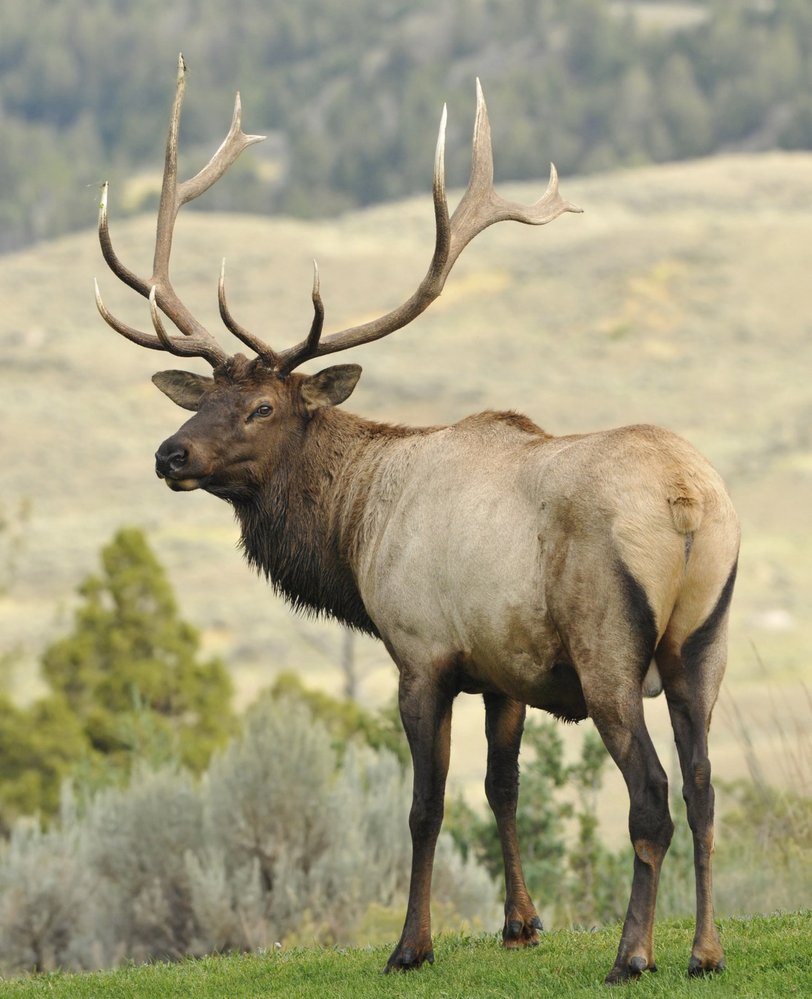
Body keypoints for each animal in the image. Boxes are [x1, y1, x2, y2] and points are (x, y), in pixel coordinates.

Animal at [96, 56, 744, 984]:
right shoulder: (505, 668)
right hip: (703, 642)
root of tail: (688, 499)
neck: (355, 529)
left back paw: (633, 953)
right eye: (204, 398)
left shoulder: (420, 651)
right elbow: (502, 788)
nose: (169, 455)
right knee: (704, 787)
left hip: (608, 648)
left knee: (651, 793)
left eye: (262, 406)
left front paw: (412, 942)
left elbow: (425, 805)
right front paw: (520, 923)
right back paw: (704, 949)